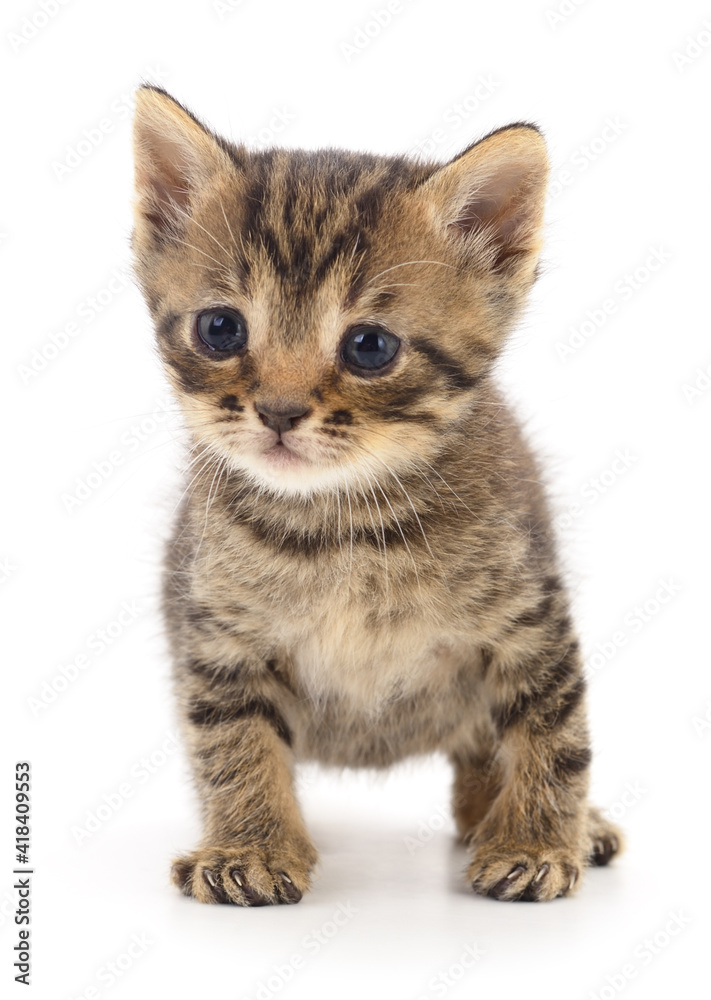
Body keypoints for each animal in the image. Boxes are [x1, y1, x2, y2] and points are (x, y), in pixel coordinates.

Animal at [131, 86, 620, 904]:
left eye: (369, 346)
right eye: (220, 328)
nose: (279, 411)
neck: (341, 524)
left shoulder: (531, 618)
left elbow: (553, 731)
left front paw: (536, 840)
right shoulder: (217, 635)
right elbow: (230, 741)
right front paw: (251, 845)